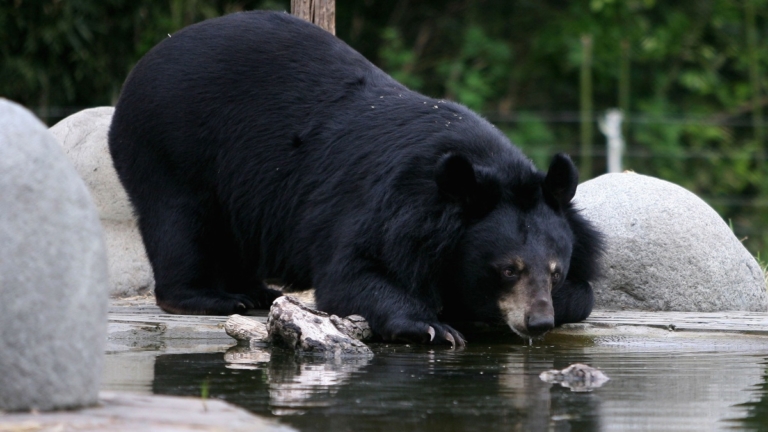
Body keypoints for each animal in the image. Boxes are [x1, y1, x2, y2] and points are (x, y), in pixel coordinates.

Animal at [108, 11, 603, 347]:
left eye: (555, 271)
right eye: (507, 269)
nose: (536, 321)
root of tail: (144, 63)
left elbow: (586, 293)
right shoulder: (385, 206)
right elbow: (354, 274)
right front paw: (434, 326)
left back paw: (253, 289)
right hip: (172, 145)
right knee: (180, 221)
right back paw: (215, 298)